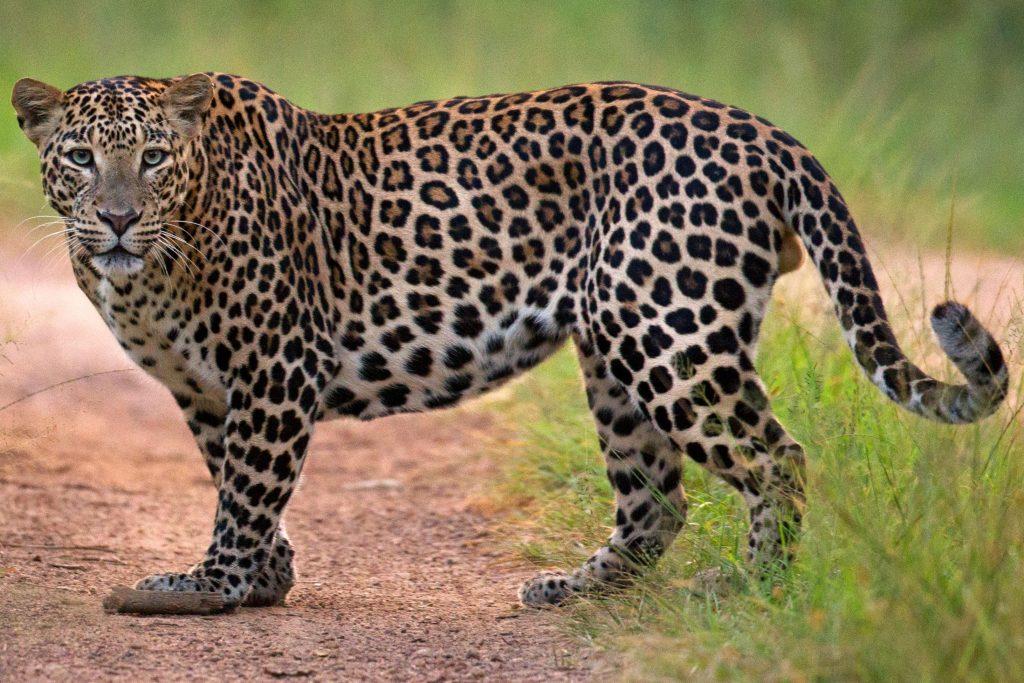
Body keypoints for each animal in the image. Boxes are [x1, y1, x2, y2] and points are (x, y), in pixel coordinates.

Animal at [12, 73, 1007, 610]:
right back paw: (573, 589)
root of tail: (766, 133)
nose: (115, 219)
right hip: (616, 350)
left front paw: (208, 586)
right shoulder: (205, 390)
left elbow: (248, 490)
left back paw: (752, 589)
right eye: (79, 158)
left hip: (669, 332)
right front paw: (266, 578)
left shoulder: (278, 367)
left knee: (776, 456)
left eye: (151, 158)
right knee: (656, 501)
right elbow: (237, 481)